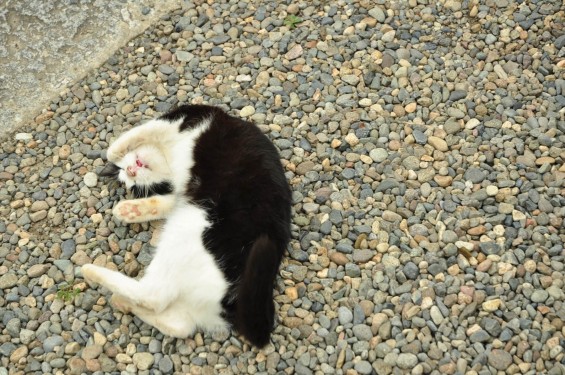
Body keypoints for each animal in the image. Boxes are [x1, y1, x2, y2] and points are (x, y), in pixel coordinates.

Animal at [82, 104, 294, 348]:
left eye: (130, 177)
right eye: (133, 183)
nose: (132, 171)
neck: (168, 155)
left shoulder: (181, 118)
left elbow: (117, 146)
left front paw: (117, 158)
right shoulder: (178, 193)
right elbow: (165, 203)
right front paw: (130, 210)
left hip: (188, 231)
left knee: (154, 297)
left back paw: (90, 271)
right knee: (178, 323)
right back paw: (121, 300)